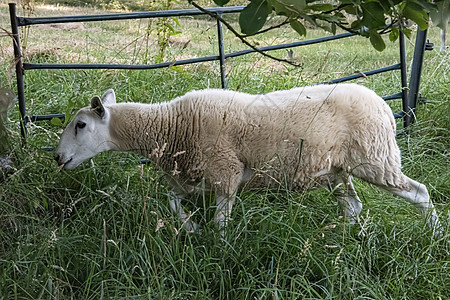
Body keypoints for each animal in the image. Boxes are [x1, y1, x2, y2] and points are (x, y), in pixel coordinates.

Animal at [54, 84, 442, 234]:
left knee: (420, 192)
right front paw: (190, 228)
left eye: (80, 125)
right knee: (353, 205)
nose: (58, 158)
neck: (170, 126)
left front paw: (220, 248)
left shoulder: (225, 172)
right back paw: (340, 237)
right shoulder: (190, 177)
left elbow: (221, 222)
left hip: (375, 160)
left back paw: (435, 234)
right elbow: (172, 203)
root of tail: (385, 108)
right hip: (335, 169)